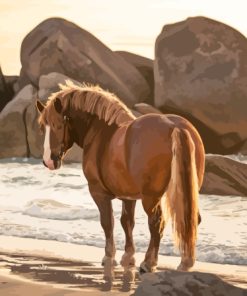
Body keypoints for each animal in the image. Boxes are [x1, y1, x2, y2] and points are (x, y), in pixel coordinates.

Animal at [36, 80, 205, 282]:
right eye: (42, 128)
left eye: (57, 125)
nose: (48, 161)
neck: (102, 132)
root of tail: (175, 126)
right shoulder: (128, 196)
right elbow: (127, 222)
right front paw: (128, 256)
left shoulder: (99, 193)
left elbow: (107, 222)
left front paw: (109, 256)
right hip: (186, 192)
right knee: (190, 219)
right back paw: (186, 262)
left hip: (151, 198)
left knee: (157, 222)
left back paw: (149, 263)